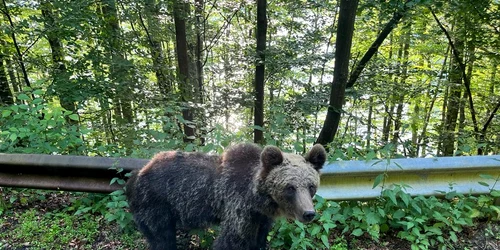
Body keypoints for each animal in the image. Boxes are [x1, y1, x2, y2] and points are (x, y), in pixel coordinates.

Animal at [127, 143, 326, 250]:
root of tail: (139, 171)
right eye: (290, 187)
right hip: (156, 204)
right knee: (162, 237)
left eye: (311, 186)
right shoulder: (237, 206)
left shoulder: (260, 218)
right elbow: (232, 240)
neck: (257, 198)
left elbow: (259, 239)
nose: (308, 213)